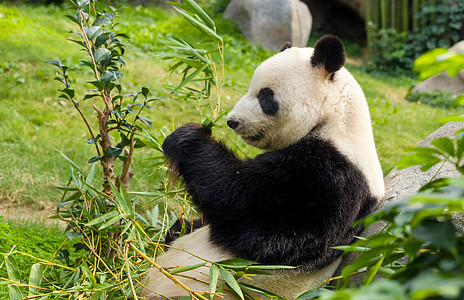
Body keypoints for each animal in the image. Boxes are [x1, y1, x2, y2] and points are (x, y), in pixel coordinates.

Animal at [140, 34, 384, 298]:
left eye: (266, 96)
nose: (232, 121)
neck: (336, 120)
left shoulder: (332, 180)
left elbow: (247, 213)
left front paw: (188, 136)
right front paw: (181, 225)